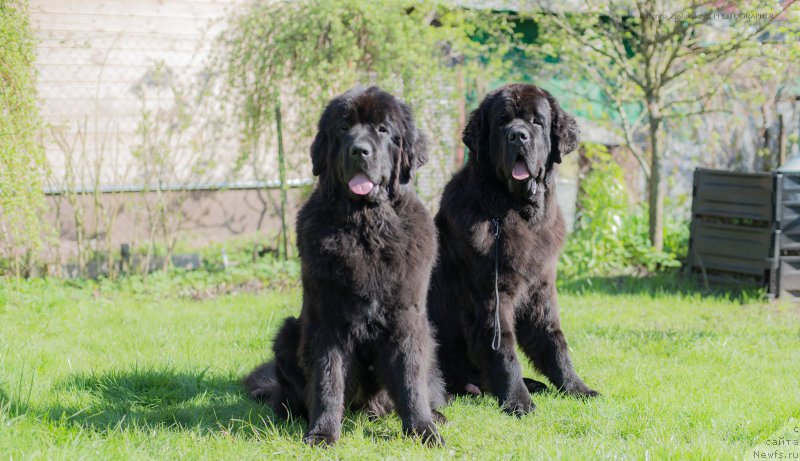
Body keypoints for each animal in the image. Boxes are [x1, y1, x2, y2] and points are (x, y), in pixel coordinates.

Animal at [245, 86, 444, 446]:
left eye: (383, 129)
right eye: (343, 127)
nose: (359, 150)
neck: (365, 227)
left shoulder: (407, 317)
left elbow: (410, 379)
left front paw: (423, 430)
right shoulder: (327, 318)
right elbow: (328, 379)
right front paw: (322, 432)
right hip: (288, 333)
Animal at [428, 83, 596, 416]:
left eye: (536, 122)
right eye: (502, 122)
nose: (518, 136)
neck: (517, 212)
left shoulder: (540, 288)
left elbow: (554, 340)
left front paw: (576, 388)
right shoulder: (490, 295)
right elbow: (503, 347)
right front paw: (518, 401)